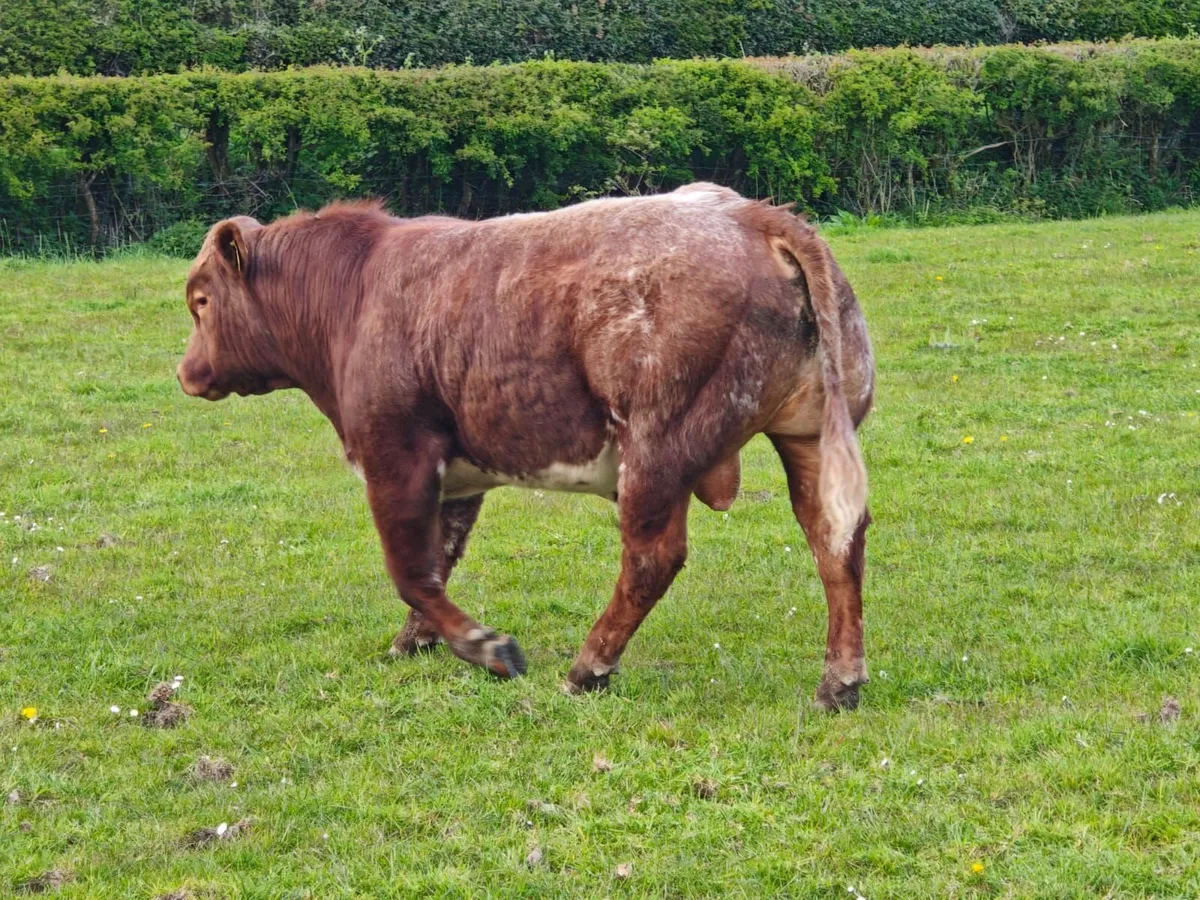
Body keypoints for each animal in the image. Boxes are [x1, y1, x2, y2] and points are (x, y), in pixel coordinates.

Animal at [176, 183, 875, 710]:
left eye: (201, 301)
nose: (185, 372)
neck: (356, 290)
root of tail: (752, 214)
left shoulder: (395, 453)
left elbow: (409, 570)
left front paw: (485, 647)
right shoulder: (455, 475)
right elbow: (436, 558)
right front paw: (416, 641)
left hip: (656, 447)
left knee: (653, 558)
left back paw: (589, 668)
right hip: (807, 436)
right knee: (835, 539)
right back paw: (839, 683)